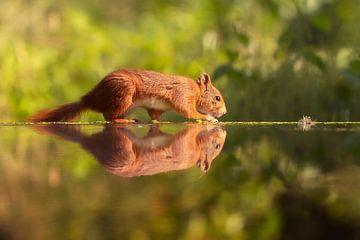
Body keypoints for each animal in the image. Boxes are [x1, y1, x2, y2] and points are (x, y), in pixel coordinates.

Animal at [31, 68, 228, 123]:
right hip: (124, 92)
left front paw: (158, 122)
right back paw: (124, 121)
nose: (225, 112)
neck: (196, 91)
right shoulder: (182, 93)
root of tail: (90, 99)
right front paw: (207, 117)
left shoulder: (155, 108)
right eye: (217, 98)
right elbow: (187, 110)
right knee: (108, 116)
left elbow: (155, 116)